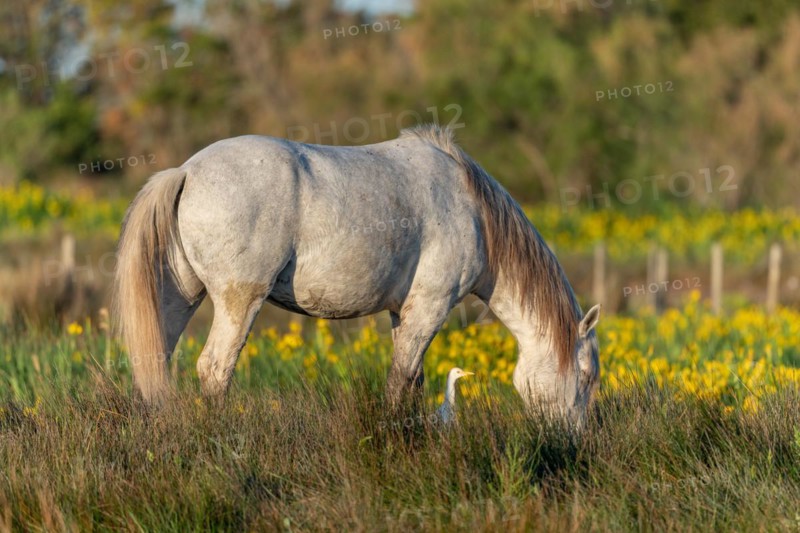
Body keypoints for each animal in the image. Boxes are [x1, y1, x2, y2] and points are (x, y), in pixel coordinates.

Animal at [113, 124, 601, 425]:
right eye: (587, 376)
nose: (573, 441)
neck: (472, 209)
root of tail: (186, 172)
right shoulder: (431, 306)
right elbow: (400, 380)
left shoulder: (404, 312)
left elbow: (412, 379)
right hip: (239, 302)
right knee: (215, 369)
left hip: (179, 297)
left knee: (156, 361)